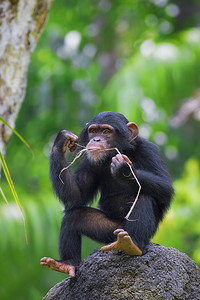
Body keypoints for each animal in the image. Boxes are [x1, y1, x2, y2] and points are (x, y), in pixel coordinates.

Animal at [40, 111, 173, 278]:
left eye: (106, 131)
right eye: (93, 131)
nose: (96, 139)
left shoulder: (149, 150)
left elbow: (166, 188)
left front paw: (123, 169)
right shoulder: (89, 159)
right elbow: (76, 196)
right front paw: (61, 141)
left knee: (145, 197)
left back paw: (133, 244)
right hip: (109, 232)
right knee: (73, 217)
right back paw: (66, 263)